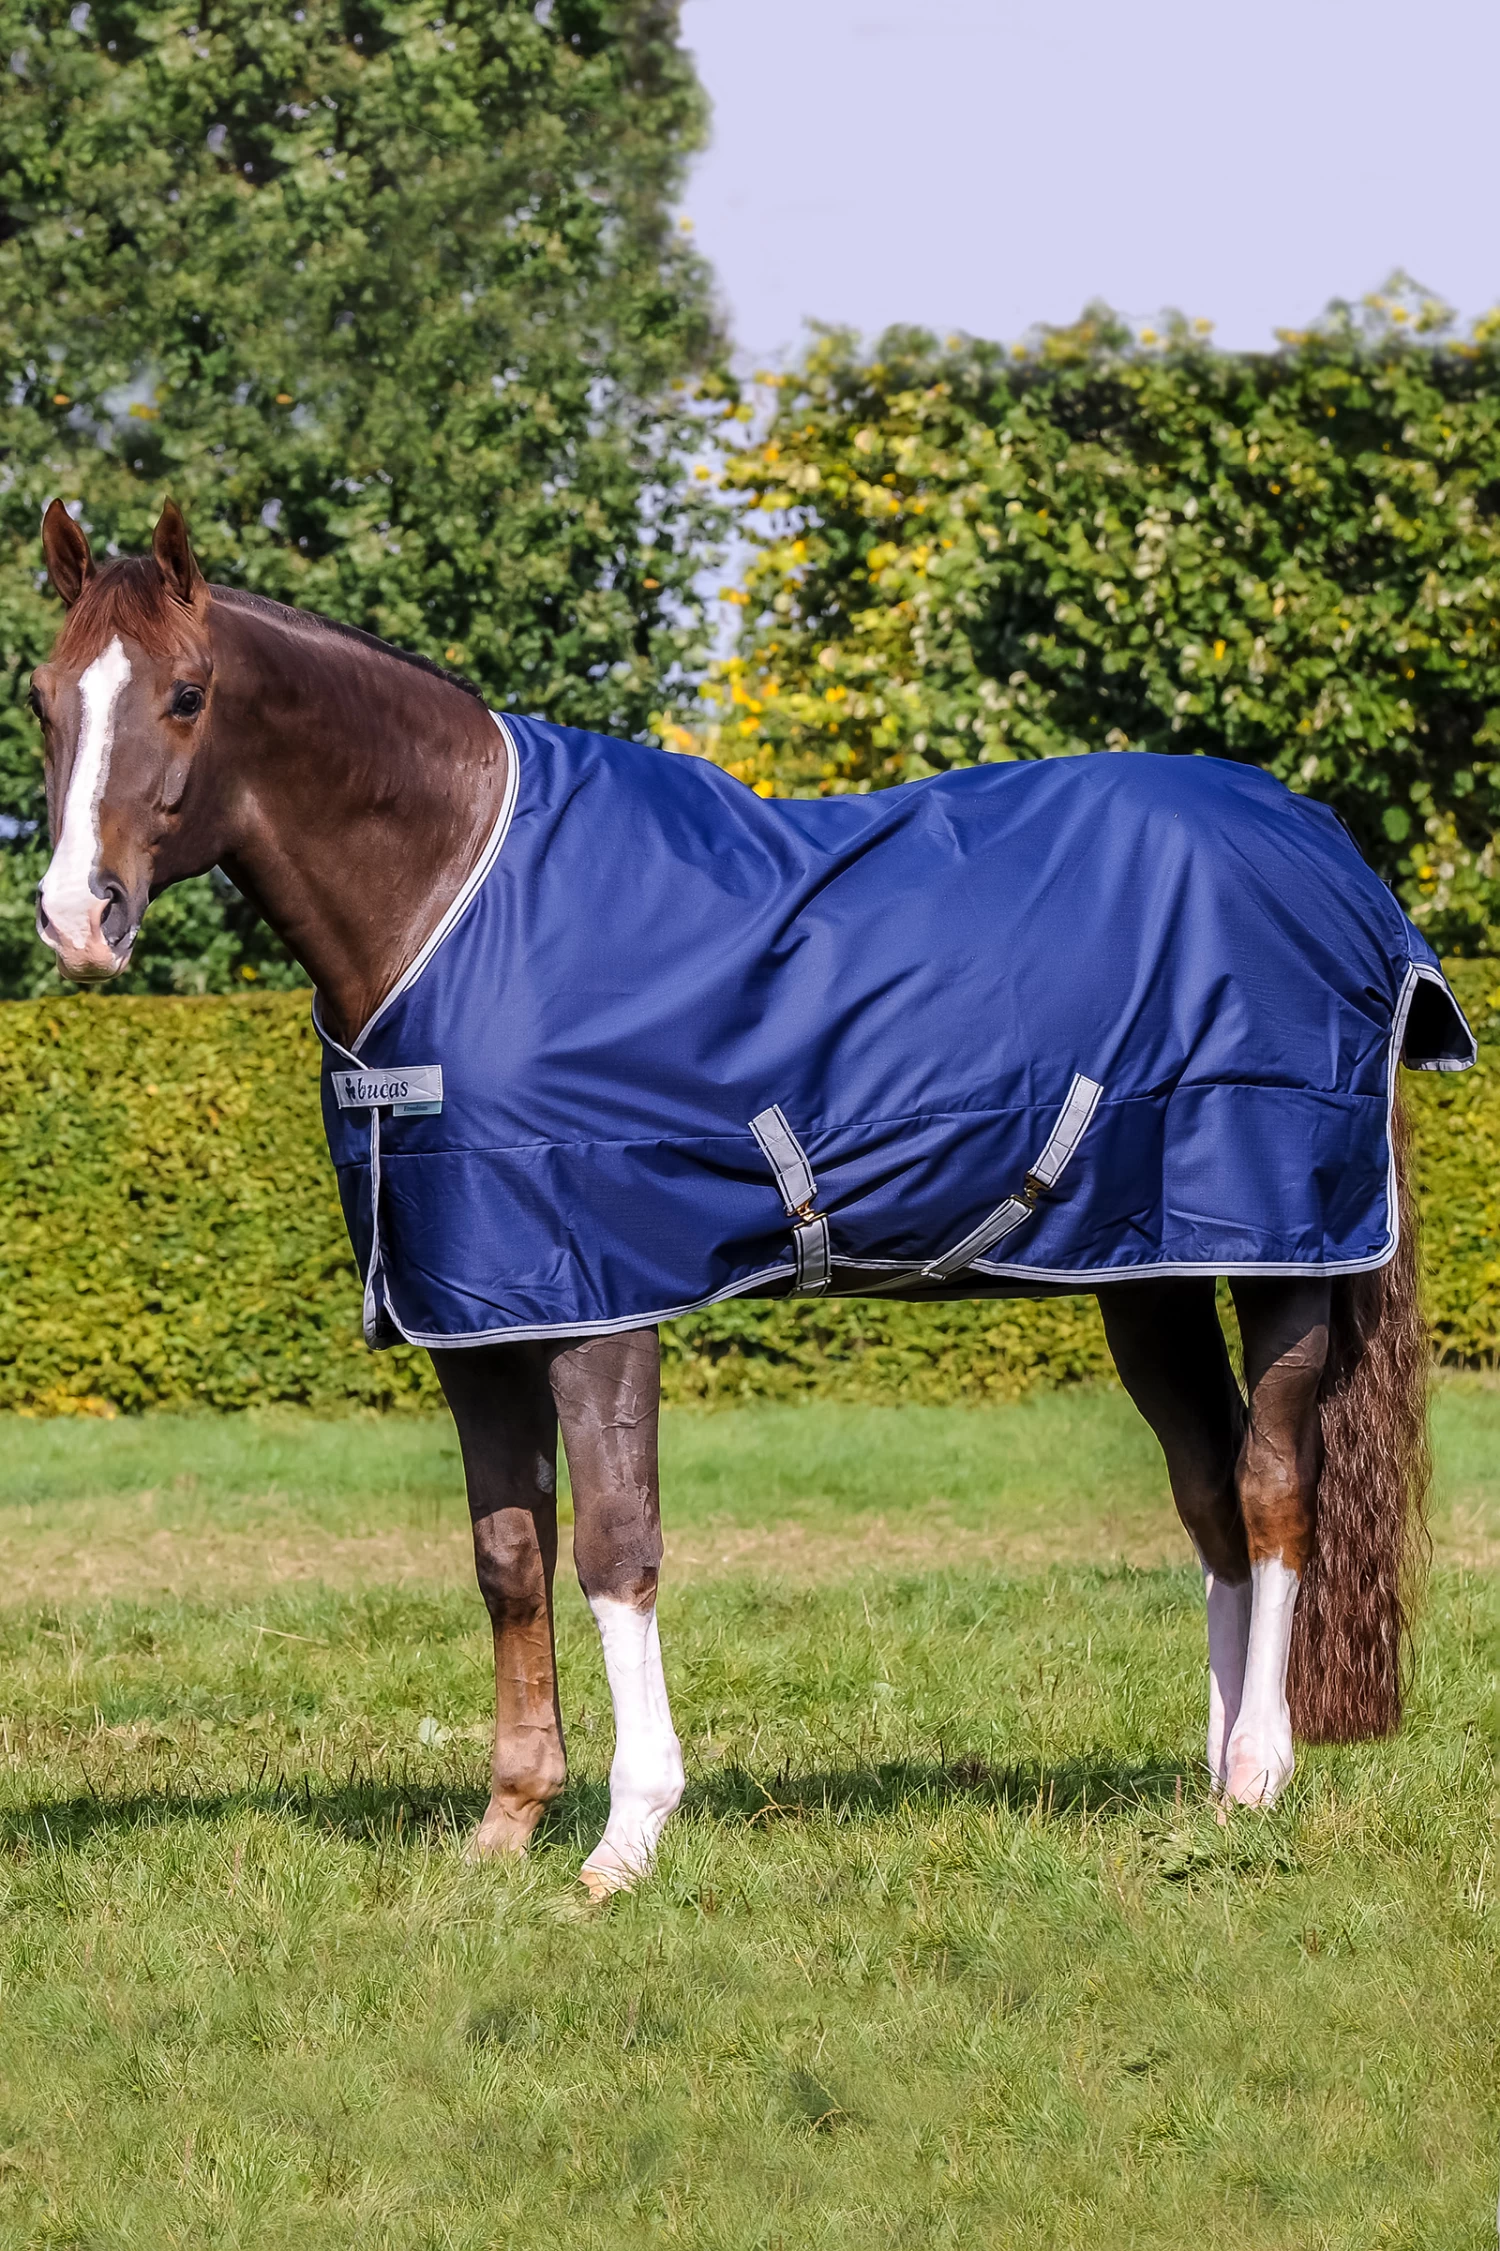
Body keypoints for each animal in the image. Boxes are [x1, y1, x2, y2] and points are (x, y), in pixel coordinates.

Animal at [27, 498, 1470, 1899]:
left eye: (188, 694)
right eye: (42, 696)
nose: (77, 917)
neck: (457, 895)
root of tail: (1331, 853)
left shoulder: (599, 1300)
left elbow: (614, 1549)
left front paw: (626, 1838)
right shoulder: (475, 1313)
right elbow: (507, 1553)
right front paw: (505, 1826)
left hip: (1285, 1251)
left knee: (1275, 1492)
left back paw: (1262, 1776)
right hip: (1148, 1269)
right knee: (1210, 1495)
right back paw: (1211, 1780)